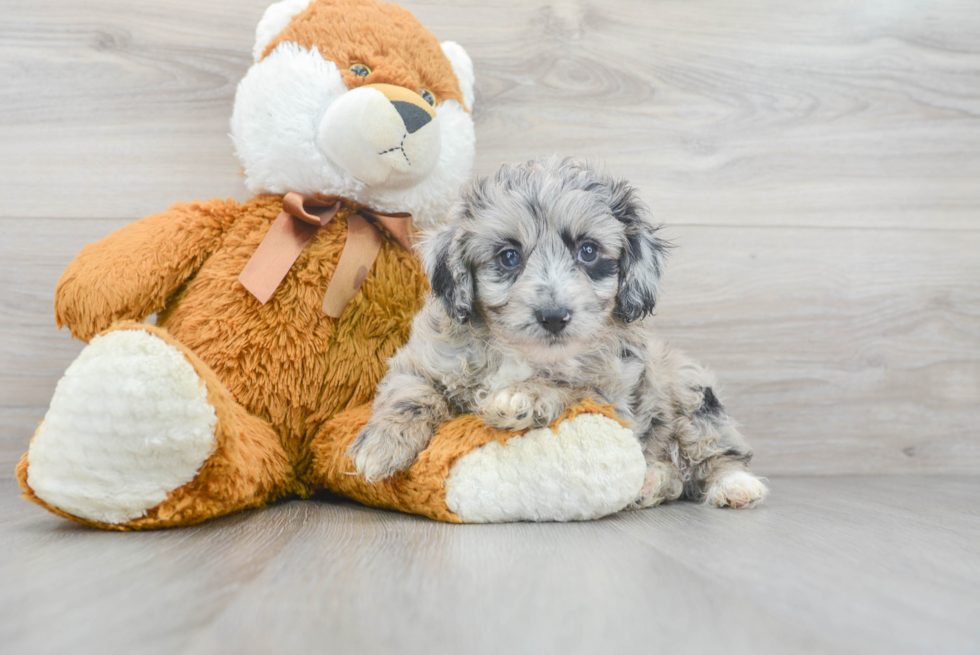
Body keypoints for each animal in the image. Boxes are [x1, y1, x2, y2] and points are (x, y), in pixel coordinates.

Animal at [348, 156, 768, 510]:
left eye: (588, 251)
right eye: (508, 257)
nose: (553, 316)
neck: (521, 353)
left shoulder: (613, 394)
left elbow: (570, 386)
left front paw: (524, 397)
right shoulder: (422, 362)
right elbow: (410, 396)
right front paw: (381, 446)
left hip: (691, 392)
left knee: (714, 453)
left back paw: (733, 485)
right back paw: (652, 483)